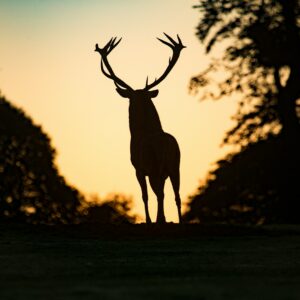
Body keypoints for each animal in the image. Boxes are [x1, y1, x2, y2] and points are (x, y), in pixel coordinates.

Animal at [95, 34, 185, 224]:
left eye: (131, 98)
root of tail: (166, 145)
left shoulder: (138, 168)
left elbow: (145, 195)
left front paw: (150, 220)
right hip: (176, 165)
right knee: (177, 195)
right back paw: (178, 220)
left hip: (155, 165)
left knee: (159, 193)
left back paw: (160, 219)